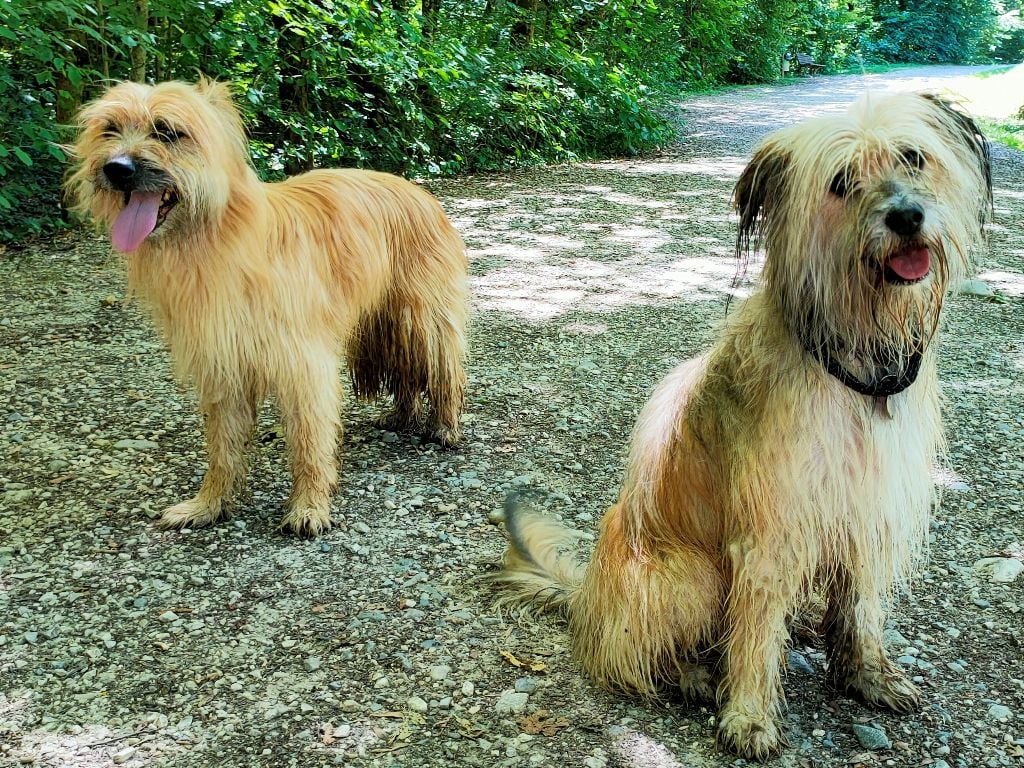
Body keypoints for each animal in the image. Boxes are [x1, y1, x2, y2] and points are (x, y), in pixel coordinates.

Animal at [70, 78, 468, 536]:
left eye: (167, 132)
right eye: (110, 129)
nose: (116, 170)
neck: (221, 240)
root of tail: (418, 191)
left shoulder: (303, 363)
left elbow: (310, 439)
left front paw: (309, 507)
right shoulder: (223, 362)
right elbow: (222, 445)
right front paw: (209, 504)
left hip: (420, 314)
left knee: (441, 364)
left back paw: (444, 425)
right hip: (383, 320)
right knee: (404, 364)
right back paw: (402, 415)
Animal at [491, 93, 987, 761]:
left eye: (913, 157)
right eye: (841, 182)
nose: (907, 217)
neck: (850, 362)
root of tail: (588, 597)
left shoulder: (866, 509)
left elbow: (860, 610)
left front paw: (867, 675)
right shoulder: (770, 531)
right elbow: (752, 632)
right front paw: (748, 714)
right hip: (690, 575)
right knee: (640, 651)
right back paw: (695, 674)